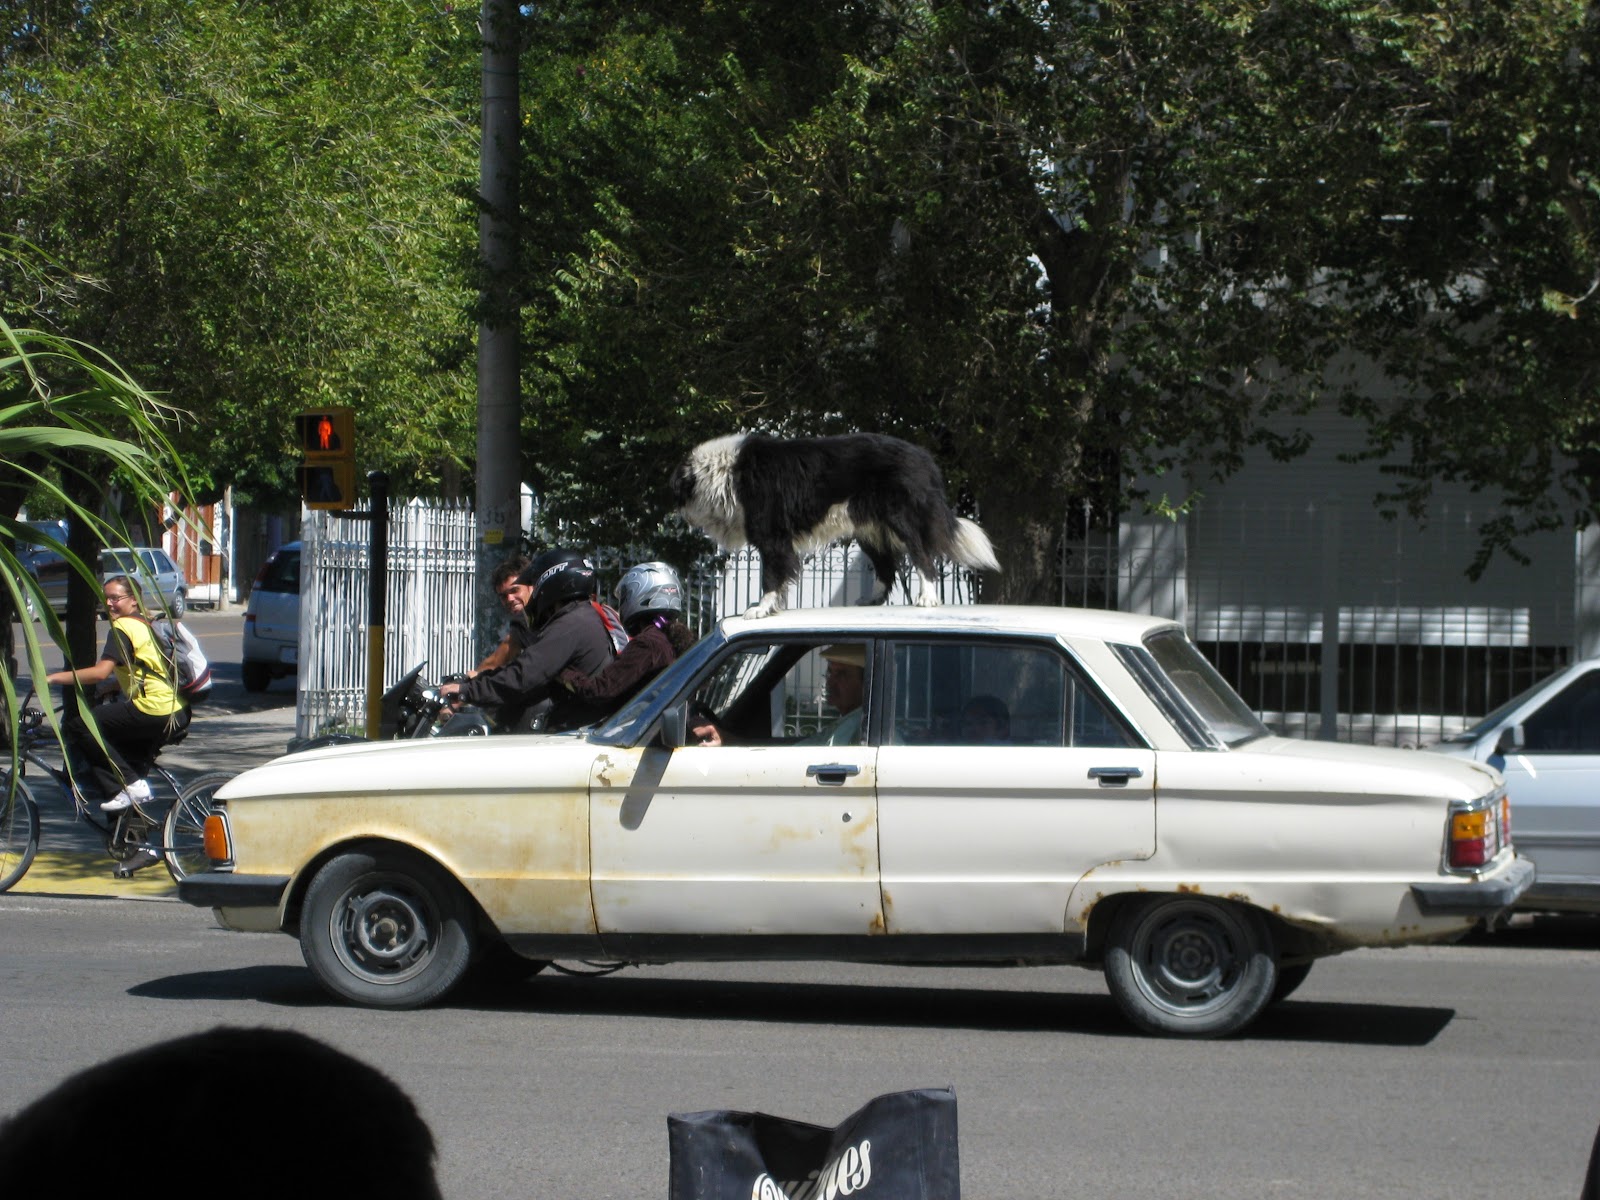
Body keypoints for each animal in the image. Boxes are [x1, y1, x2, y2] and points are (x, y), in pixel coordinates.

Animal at [672, 435, 998, 620]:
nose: (678, 517)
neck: (723, 475)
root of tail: (924, 458)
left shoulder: (773, 538)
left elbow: (771, 577)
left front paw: (761, 610)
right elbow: (781, 578)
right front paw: (775, 607)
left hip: (900, 518)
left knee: (922, 557)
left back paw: (927, 598)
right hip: (868, 528)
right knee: (886, 565)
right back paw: (872, 600)